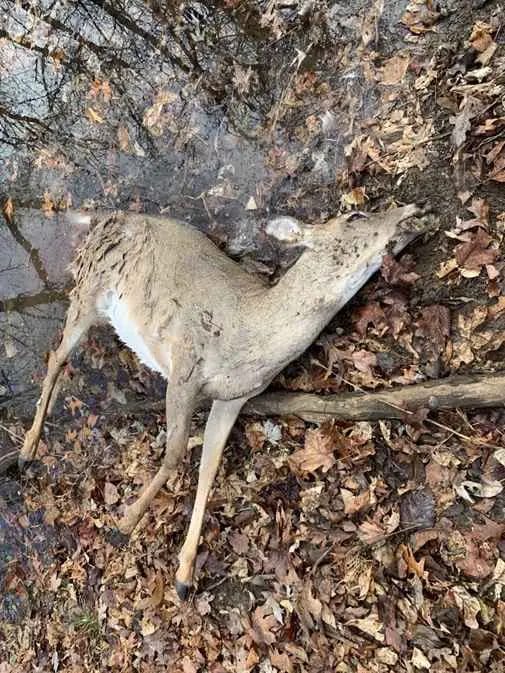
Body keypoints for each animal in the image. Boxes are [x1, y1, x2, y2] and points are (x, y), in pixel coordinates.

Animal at [19, 203, 429, 599]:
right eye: (354, 215)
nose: (412, 210)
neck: (253, 336)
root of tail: (105, 220)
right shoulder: (185, 364)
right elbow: (174, 454)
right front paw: (125, 523)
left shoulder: (234, 399)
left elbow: (208, 469)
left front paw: (184, 575)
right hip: (90, 287)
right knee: (56, 358)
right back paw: (27, 451)